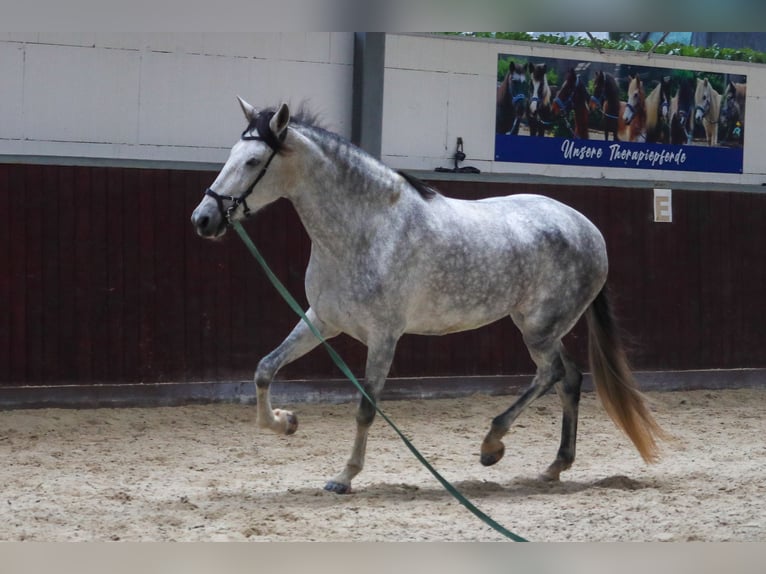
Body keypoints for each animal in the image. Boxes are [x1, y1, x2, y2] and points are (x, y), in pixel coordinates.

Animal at [191, 98, 665, 494]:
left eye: (254, 161)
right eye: (229, 156)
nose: (204, 218)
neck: (366, 229)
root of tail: (588, 229)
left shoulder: (384, 337)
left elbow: (366, 407)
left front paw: (345, 477)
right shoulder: (321, 320)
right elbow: (264, 369)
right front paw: (285, 422)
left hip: (538, 330)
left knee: (550, 375)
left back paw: (493, 445)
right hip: (543, 328)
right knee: (569, 379)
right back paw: (554, 467)